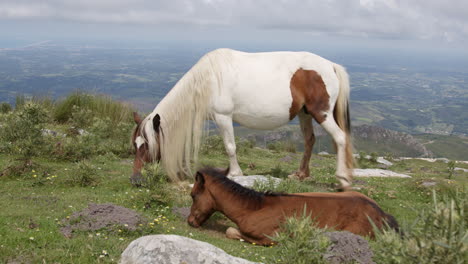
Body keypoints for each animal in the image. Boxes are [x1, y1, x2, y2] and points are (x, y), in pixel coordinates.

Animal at [130, 48, 352, 189]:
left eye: (147, 145)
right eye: (135, 144)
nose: (135, 179)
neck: (207, 81)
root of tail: (331, 66)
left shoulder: (223, 117)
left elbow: (230, 147)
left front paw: (235, 173)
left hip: (321, 113)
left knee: (340, 138)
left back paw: (342, 179)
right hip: (304, 113)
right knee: (309, 140)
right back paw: (301, 174)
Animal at [188, 167, 400, 245]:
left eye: (193, 195)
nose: (190, 221)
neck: (254, 208)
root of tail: (382, 215)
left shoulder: (270, 237)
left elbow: (231, 231)